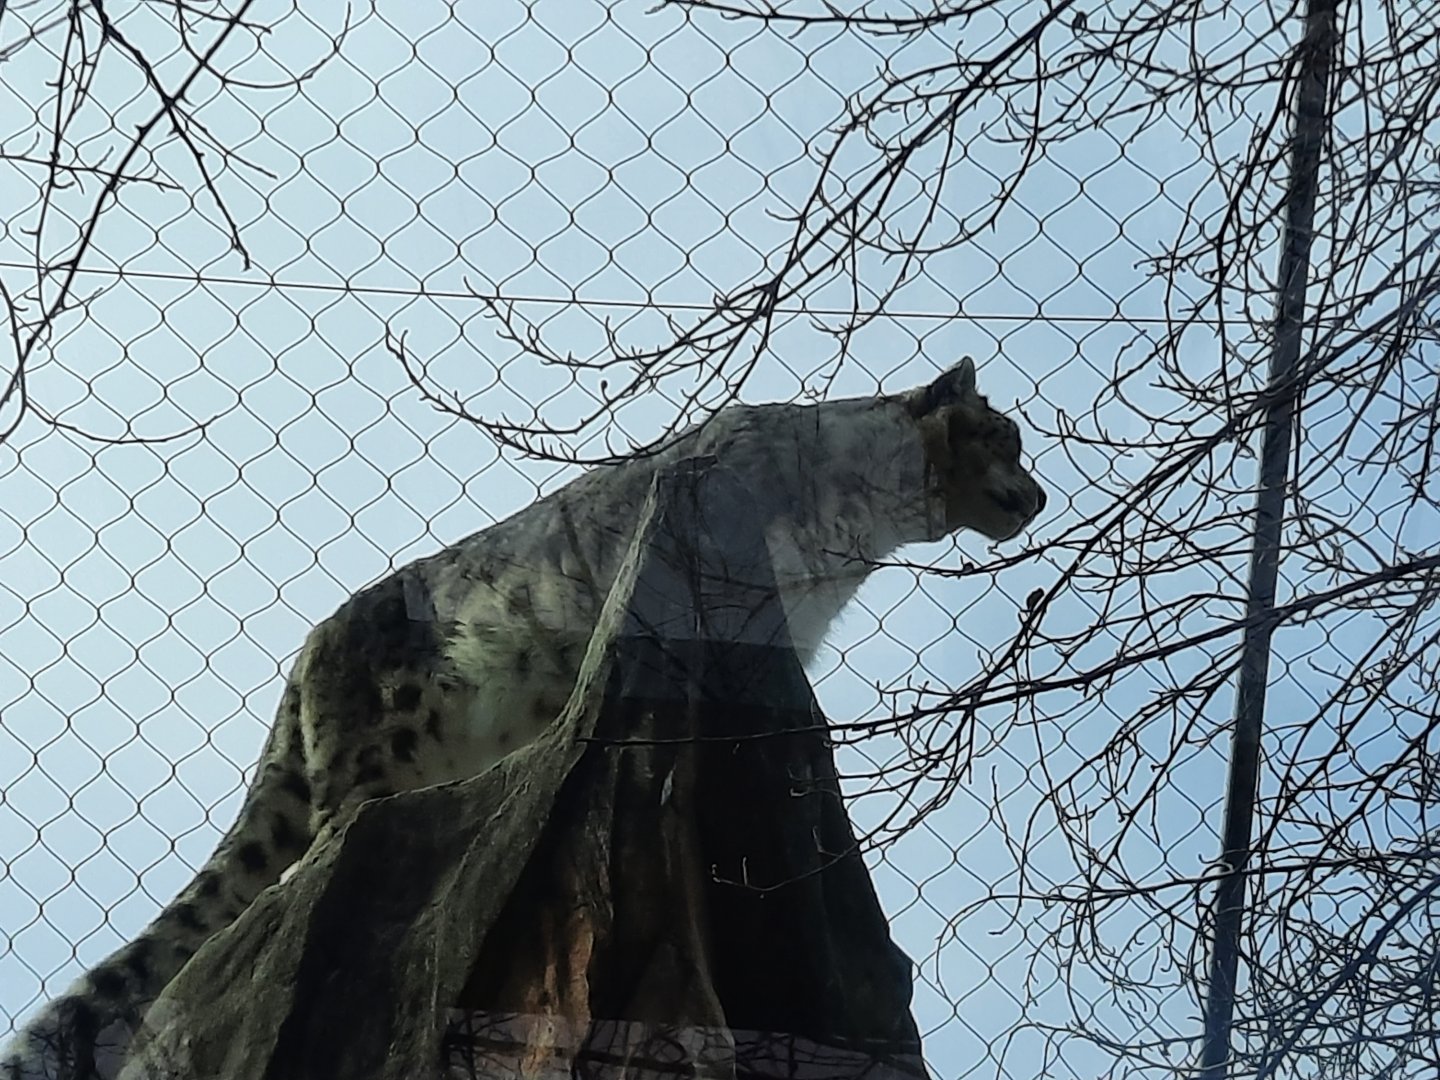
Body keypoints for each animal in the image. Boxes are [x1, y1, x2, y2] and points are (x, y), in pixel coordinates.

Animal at [1, 356, 1045, 1078]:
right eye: (1006, 437)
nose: (1037, 495)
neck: (849, 539)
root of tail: (306, 657)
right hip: (369, 755)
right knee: (318, 851)